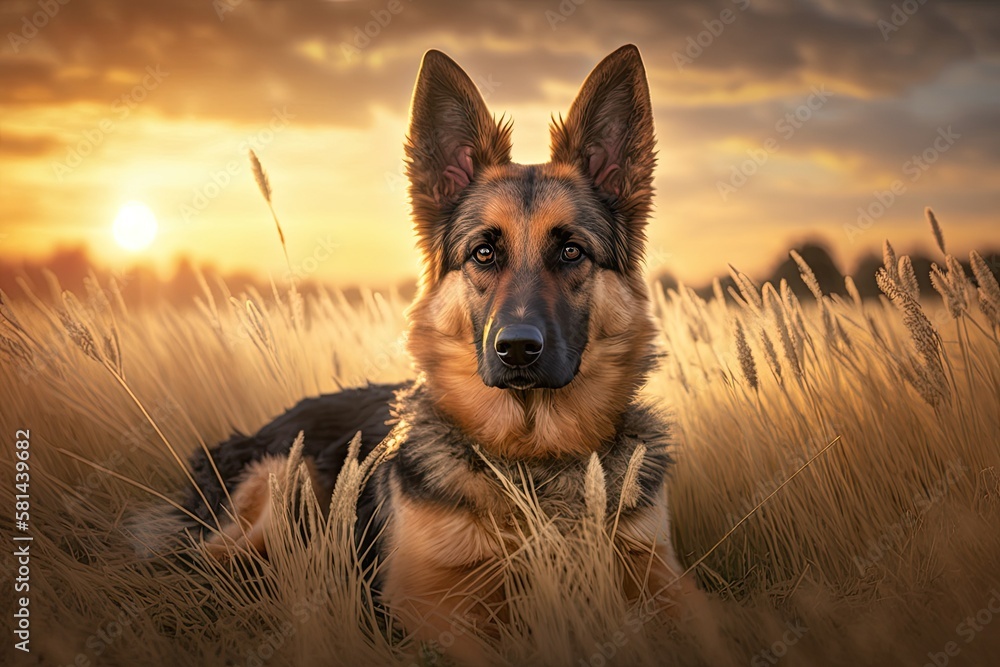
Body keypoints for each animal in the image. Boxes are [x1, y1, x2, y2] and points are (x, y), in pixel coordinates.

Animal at [180, 44, 712, 664]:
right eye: (483, 252)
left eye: (572, 251)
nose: (517, 349)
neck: (531, 459)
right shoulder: (423, 603)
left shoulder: (663, 579)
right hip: (283, 486)